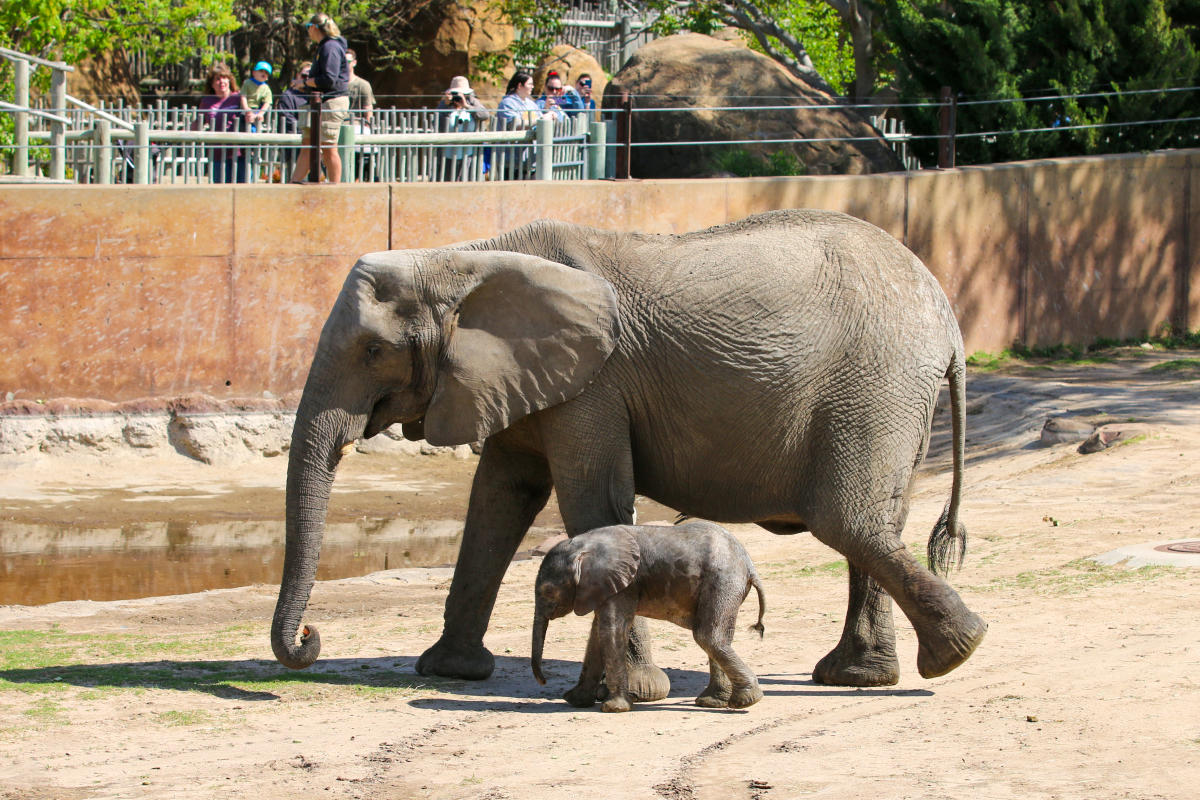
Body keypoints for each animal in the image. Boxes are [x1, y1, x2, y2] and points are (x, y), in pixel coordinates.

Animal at [531, 521, 766, 712]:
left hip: (722, 581)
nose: (543, 682)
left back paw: (744, 701)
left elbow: (612, 631)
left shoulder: (625, 584)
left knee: (708, 636)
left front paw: (614, 709)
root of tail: (749, 565)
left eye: (548, 591)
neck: (584, 545)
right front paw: (574, 701)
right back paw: (713, 702)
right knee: (718, 637)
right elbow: (597, 635)